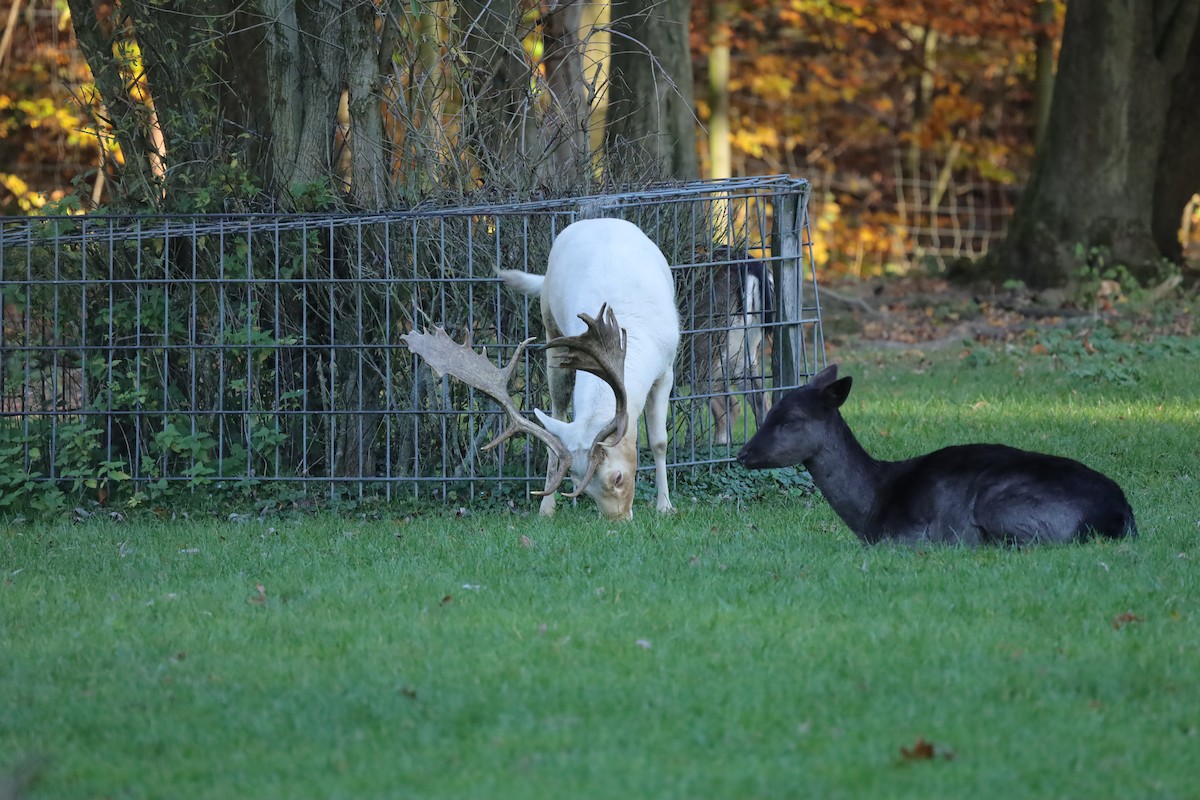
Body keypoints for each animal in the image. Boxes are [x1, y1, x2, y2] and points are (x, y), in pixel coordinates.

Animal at [737, 364, 1138, 546]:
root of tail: (1119, 516)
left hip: (1004, 504)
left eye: (791, 419)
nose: (743, 453)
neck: (869, 509)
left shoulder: (903, 535)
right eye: (769, 412)